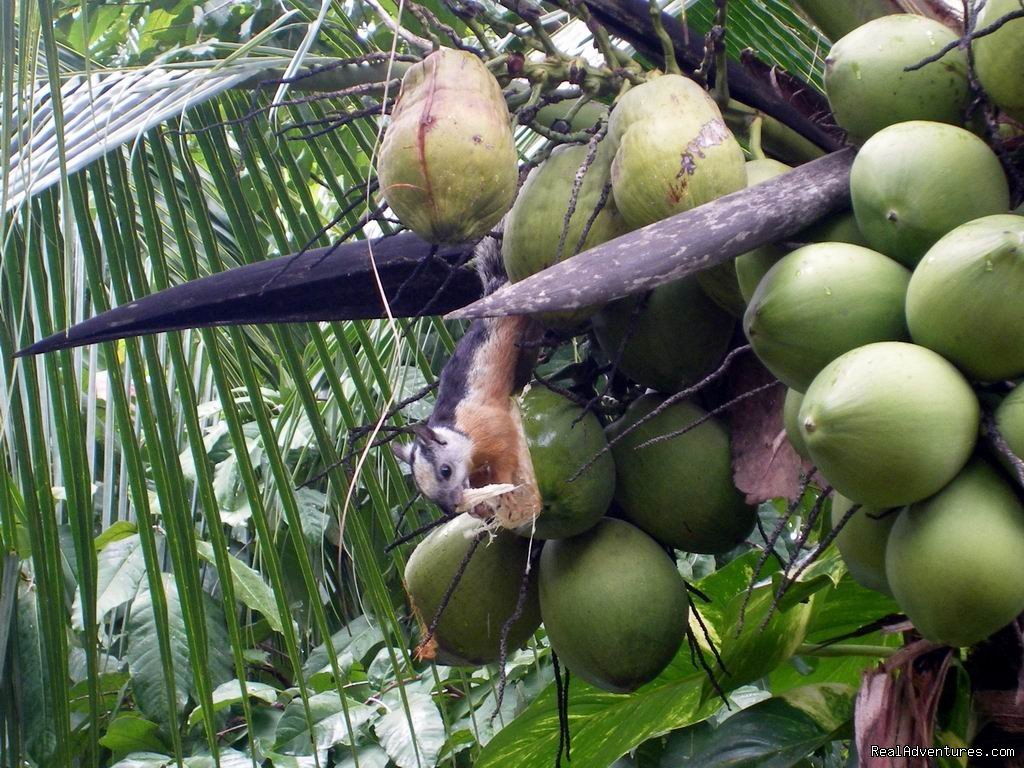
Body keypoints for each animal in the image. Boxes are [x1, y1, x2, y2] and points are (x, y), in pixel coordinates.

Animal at [389, 230, 544, 528]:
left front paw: (505, 488)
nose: (452, 506)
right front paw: (479, 507)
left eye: (445, 471)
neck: (462, 435)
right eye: (422, 490)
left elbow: (505, 456)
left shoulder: (493, 429)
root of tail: (498, 288)